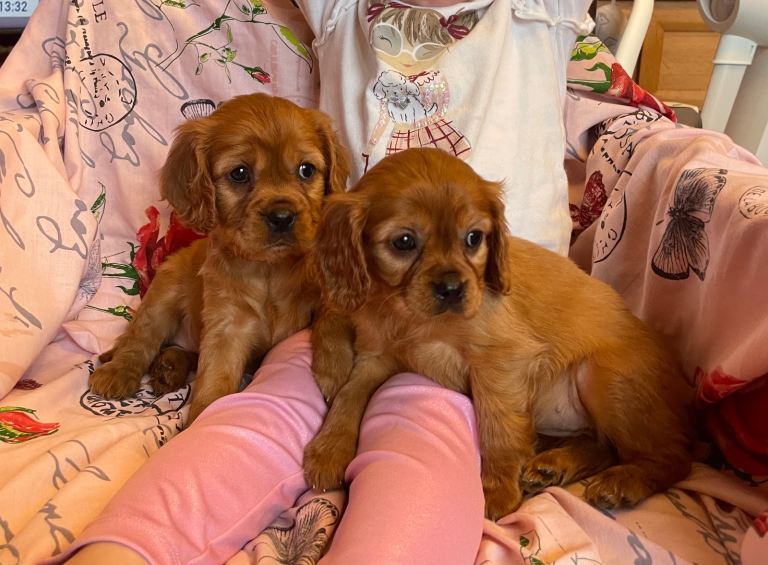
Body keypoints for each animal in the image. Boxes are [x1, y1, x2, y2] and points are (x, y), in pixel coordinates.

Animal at [89, 93, 350, 423]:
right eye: (239, 173)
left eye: (306, 170)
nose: (282, 217)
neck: (269, 268)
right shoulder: (227, 326)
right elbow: (213, 382)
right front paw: (200, 423)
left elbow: (333, 315)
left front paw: (334, 370)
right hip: (163, 293)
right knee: (140, 338)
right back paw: (120, 372)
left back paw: (170, 368)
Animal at [303, 148, 694, 520]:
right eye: (404, 242)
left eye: (474, 238)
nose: (452, 289)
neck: (415, 320)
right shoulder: (377, 356)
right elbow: (350, 393)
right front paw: (329, 448)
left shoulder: (501, 360)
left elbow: (497, 426)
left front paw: (497, 491)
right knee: (604, 445)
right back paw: (554, 466)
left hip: (602, 375)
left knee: (673, 458)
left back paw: (624, 481)